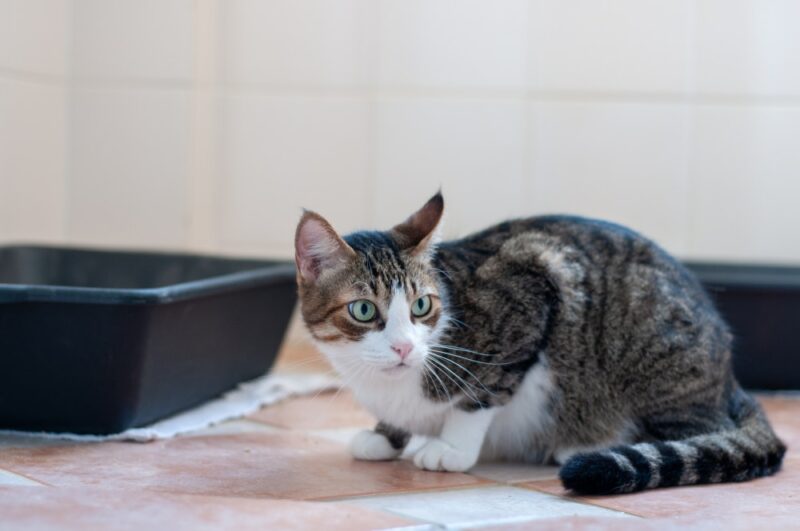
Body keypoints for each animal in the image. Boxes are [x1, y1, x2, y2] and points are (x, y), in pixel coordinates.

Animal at [292, 193, 780, 496]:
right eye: (363, 310)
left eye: (422, 306)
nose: (404, 349)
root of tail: (730, 382)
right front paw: (385, 436)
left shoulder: (532, 285)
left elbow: (482, 393)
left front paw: (452, 449)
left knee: (704, 431)